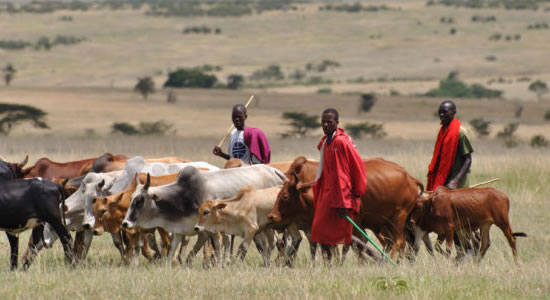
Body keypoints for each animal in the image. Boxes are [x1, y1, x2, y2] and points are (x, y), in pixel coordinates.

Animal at [123, 164, 288, 264]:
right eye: (131, 199)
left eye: (140, 200)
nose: (125, 223)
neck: (184, 196)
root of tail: (274, 171)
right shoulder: (180, 230)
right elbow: (172, 252)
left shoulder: (211, 230)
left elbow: (216, 248)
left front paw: (220, 265)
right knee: (266, 244)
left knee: (275, 243)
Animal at [270, 156, 424, 264]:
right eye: (277, 194)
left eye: (285, 196)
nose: (271, 216)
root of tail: (411, 178)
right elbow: (333, 246)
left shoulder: (354, 223)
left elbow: (354, 245)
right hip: (388, 223)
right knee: (399, 243)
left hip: (398, 218)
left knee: (398, 241)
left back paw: (389, 261)